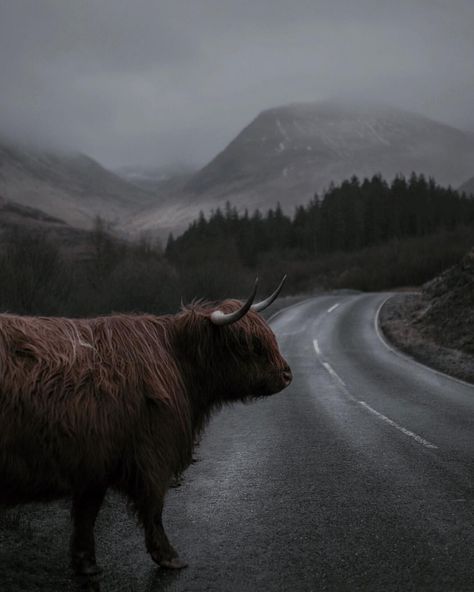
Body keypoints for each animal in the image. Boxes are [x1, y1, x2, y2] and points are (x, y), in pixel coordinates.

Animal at [0, 280, 288, 576]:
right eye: (250, 344)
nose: (287, 375)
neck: (178, 361)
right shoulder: (151, 454)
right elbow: (153, 508)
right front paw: (169, 557)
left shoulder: (95, 464)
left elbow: (86, 515)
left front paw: (86, 563)